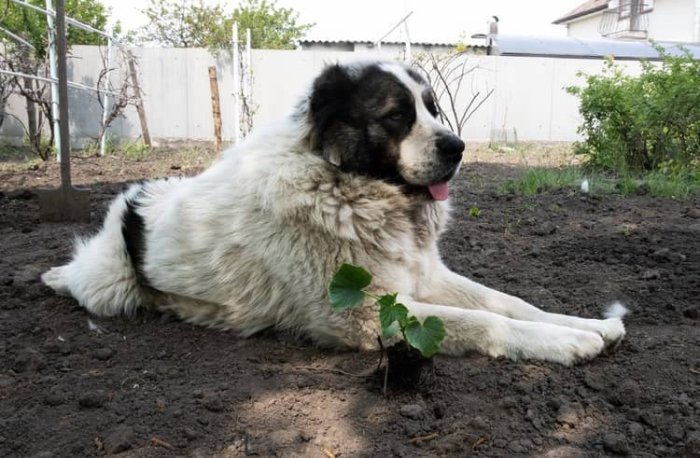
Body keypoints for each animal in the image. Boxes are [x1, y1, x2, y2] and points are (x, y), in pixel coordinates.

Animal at [41, 60, 628, 364]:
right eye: (396, 116)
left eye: (433, 109)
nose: (458, 147)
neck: (345, 183)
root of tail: (131, 204)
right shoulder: (368, 314)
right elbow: (484, 321)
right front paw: (568, 342)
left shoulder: (423, 278)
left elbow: (509, 302)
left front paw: (589, 324)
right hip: (110, 287)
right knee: (83, 280)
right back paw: (55, 277)